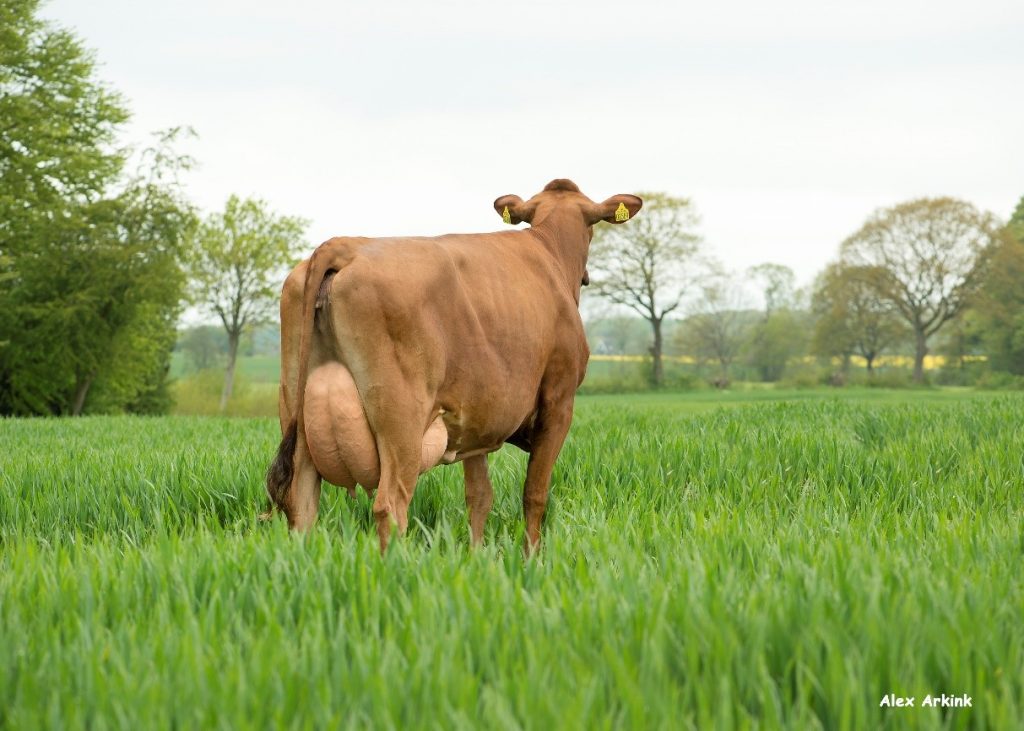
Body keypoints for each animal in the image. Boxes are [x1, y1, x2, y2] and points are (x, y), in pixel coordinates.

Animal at [268, 179, 643, 548]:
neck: (549, 251)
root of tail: (344, 245)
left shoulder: (476, 419)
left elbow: (479, 496)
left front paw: (477, 556)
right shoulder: (558, 400)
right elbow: (534, 494)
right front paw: (530, 557)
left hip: (295, 409)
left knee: (300, 503)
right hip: (402, 420)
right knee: (391, 505)